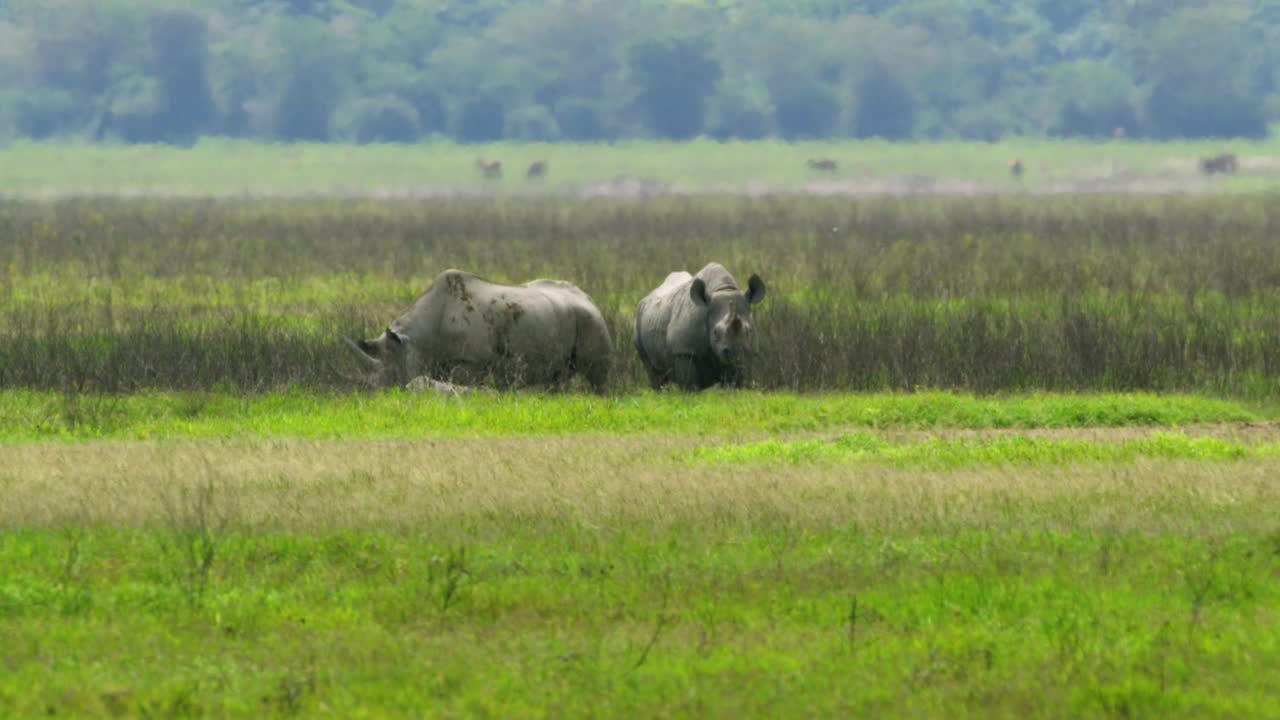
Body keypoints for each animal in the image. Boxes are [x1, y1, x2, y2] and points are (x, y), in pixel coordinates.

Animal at [348, 269, 611, 392]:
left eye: (393, 374)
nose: (379, 394)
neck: (415, 339)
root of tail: (588, 297)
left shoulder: (471, 361)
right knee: (556, 377)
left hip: (591, 319)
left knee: (596, 373)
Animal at [632, 260, 762, 389]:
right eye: (715, 332)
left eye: (749, 331)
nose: (735, 352)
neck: (723, 289)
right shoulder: (684, 350)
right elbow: (689, 385)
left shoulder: (747, 352)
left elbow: (737, 382)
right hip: (639, 319)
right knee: (654, 374)